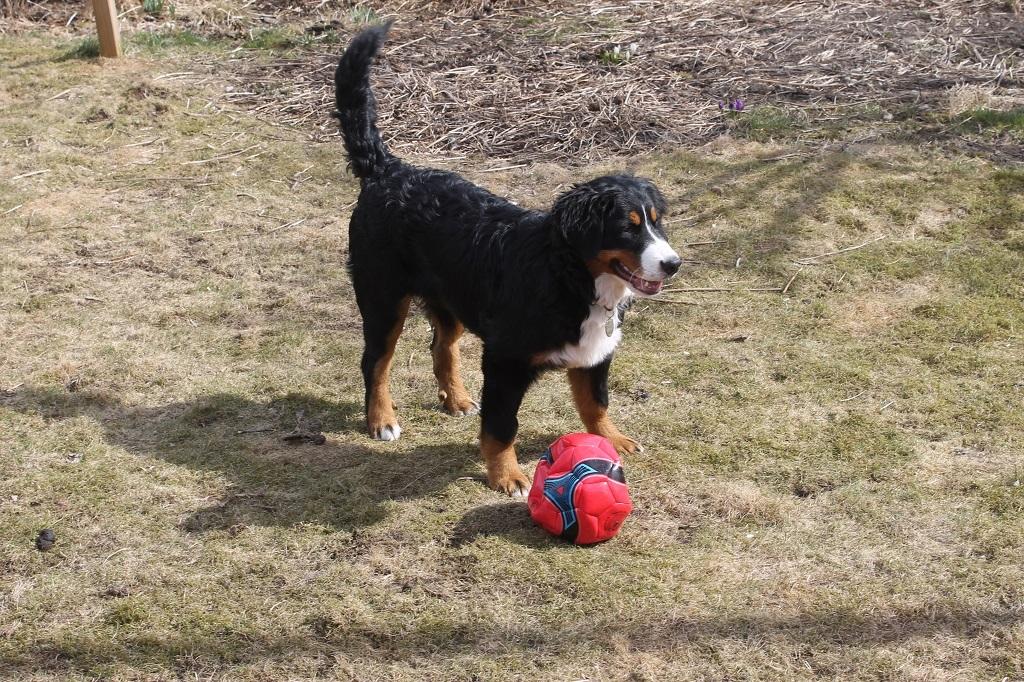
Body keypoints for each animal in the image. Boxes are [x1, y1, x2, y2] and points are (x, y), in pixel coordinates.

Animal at [335, 25, 684, 493]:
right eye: (628, 228)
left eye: (657, 223)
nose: (672, 263)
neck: (567, 277)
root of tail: (389, 169)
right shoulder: (506, 360)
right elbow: (501, 426)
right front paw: (508, 476)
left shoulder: (595, 354)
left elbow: (595, 402)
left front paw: (611, 440)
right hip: (384, 299)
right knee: (376, 361)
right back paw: (381, 419)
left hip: (452, 299)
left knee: (442, 345)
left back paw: (457, 399)